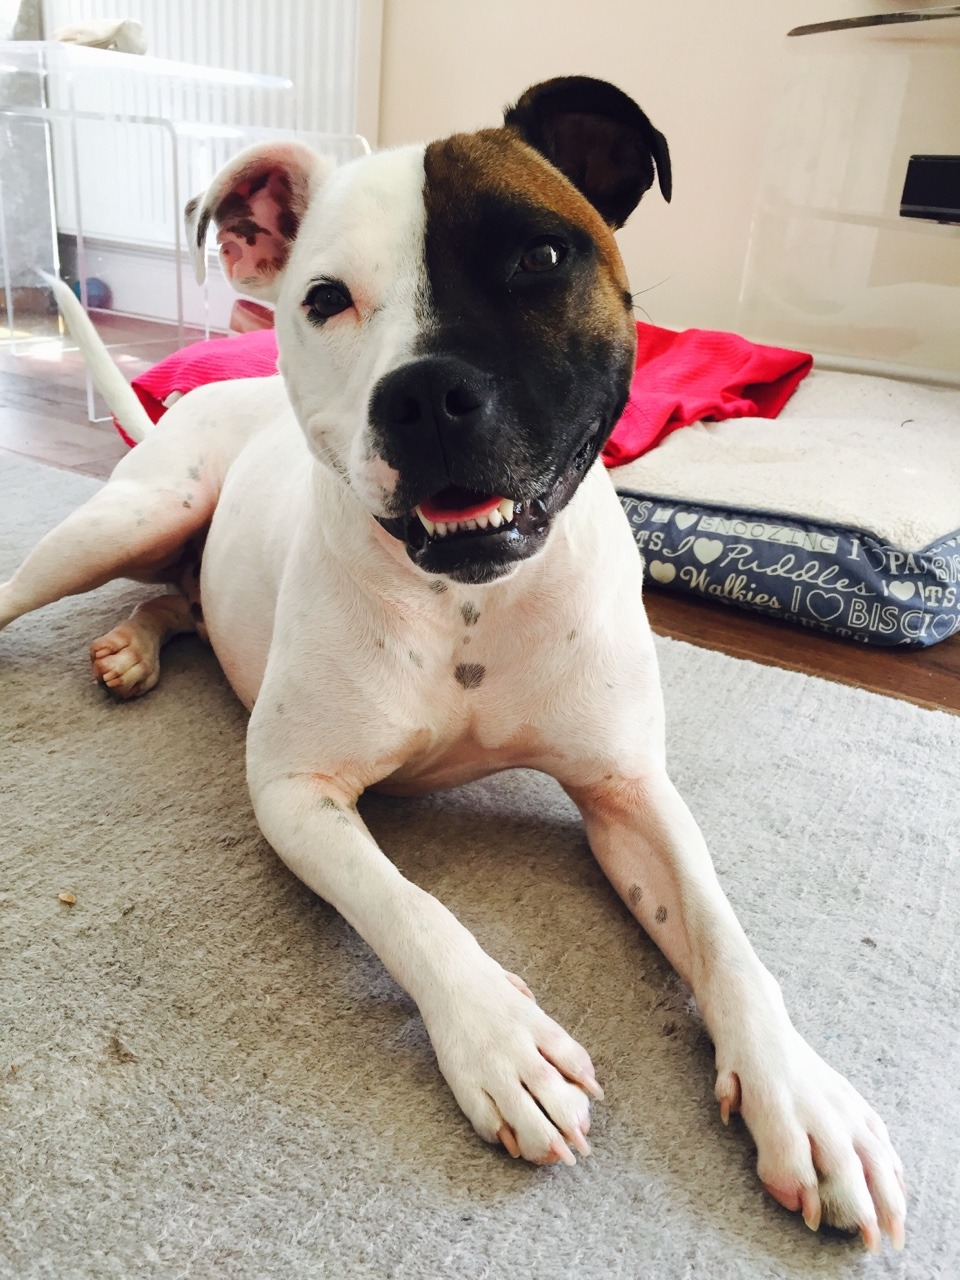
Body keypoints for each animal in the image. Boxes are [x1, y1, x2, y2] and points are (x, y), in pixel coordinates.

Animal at [1, 76, 904, 1251]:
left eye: (540, 256)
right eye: (326, 298)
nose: (424, 395)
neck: (469, 600)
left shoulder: (631, 791)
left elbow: (724, 935)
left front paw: (804, 1097)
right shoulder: (296, 792)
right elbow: (408, 907)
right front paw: (501, 1042)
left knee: (178, 599)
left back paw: (132, 645)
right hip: (129, 518)